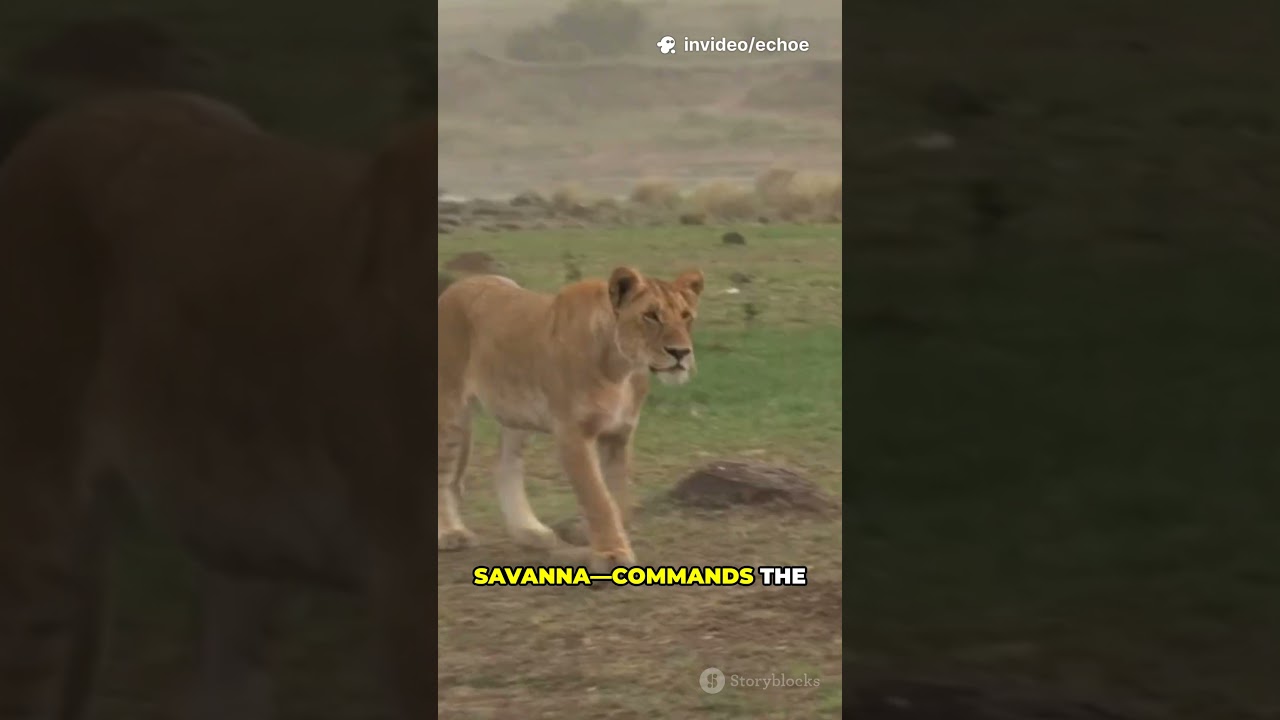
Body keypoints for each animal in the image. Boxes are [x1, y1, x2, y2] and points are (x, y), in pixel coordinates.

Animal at [437, 266, 705, 572]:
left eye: (686, 316)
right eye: (650, 315)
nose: (681, 353)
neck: (621, 369)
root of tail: (457, 286)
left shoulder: (619, 435)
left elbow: (618, 496)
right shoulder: (573, 434)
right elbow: (598, 498)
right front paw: (611, 553)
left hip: (518, 413)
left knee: (504, 464)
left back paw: (529, 531)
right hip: (451, 408)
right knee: (444, 473)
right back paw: (450, 533)